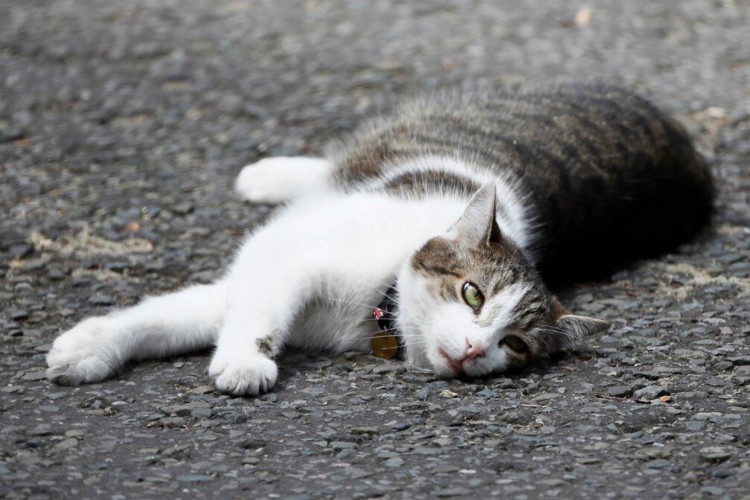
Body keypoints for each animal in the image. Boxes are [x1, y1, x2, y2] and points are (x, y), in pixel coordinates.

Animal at [44, 83, 712, 394]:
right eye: (472, 295)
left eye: (516, 345)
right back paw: (268, 174)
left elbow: (189, 314)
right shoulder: (281, 258)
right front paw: (242, 360)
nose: (475, 350)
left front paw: (93, 347)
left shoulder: (265, 275)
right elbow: (216, 314)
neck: (376, 303)